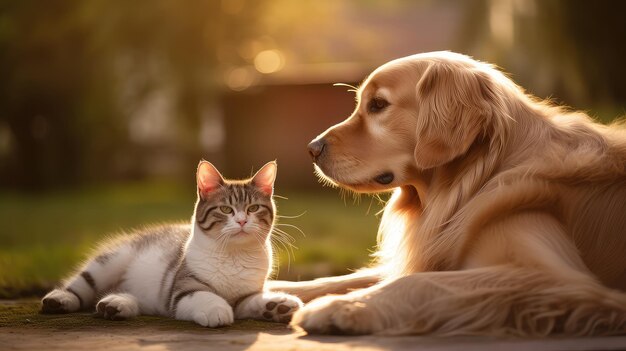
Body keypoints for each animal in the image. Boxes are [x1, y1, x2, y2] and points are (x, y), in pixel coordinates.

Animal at [40, 162, 302, 328]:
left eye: (253, 208)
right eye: (226, 209)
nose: (242, 220)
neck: (233, 255)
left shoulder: (245, 296)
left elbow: (253, 301)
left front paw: (276, 305)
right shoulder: (181, 290)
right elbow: (203, 295)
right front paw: (217, 309)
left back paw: (114, 304)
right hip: (111, 261)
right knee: (82, 285)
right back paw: (60, 299)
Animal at [268, 51, 624, 336]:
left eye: (378, 105)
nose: (312, 149)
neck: (480, 176)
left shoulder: (553, 277)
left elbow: (417, 281)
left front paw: (341, 307)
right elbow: (343, 278)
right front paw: (273, 291)